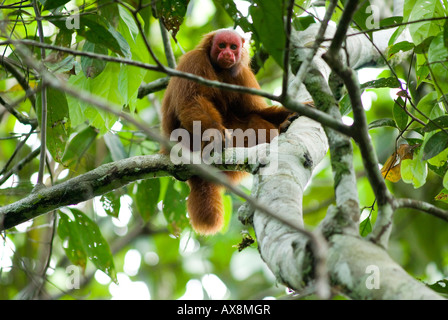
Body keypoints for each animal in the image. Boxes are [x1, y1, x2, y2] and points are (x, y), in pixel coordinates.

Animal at [162, 28, 298, 235]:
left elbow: (255, 111)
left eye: (233, 47)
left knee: (253, 120)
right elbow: (192, 101)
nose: (227, 53)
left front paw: (291, 113)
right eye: (221, 45)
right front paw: (216, 135)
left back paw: (282, 127)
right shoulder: (194, 61)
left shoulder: (242, 75)